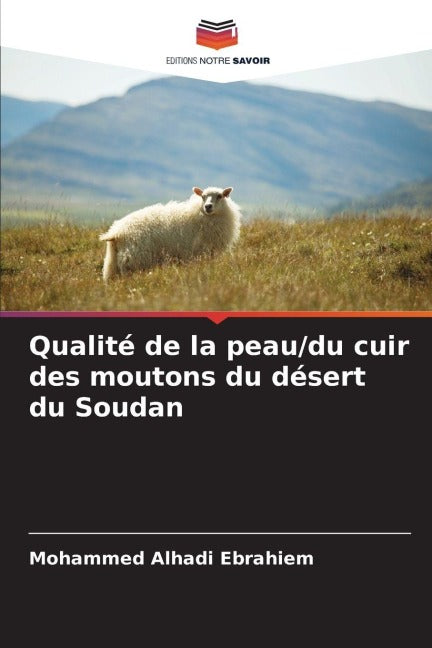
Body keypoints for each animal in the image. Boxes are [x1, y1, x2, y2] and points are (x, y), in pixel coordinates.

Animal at [100, 186, 241, 281]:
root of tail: (117, 232)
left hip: (112, 263)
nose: (208, 206)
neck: (201, 215)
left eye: (220, 196)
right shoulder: (200, 252)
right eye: (203, 197)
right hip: (134, 261)